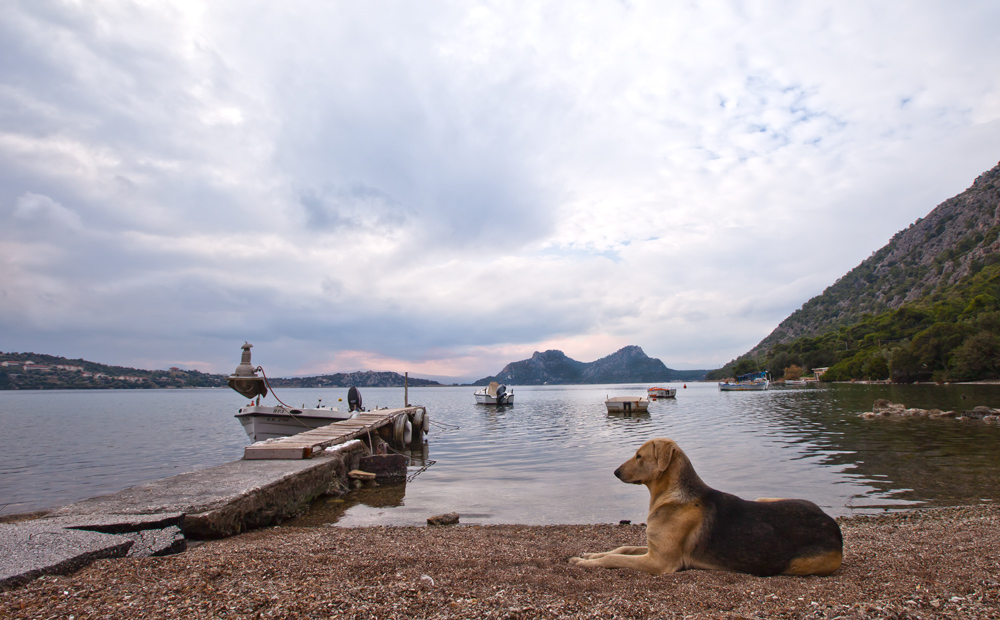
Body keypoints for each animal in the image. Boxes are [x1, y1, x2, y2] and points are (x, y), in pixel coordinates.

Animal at [572, 436, 844, 576]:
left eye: (639, 456)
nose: (615, 472)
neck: (671, 495)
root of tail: (834, 526)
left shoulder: (659, 561)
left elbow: (615, 559)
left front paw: (587, 563)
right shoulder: (653, 549)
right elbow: (622, 549)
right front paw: (591, 554)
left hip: (795, 565)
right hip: (764, 498)